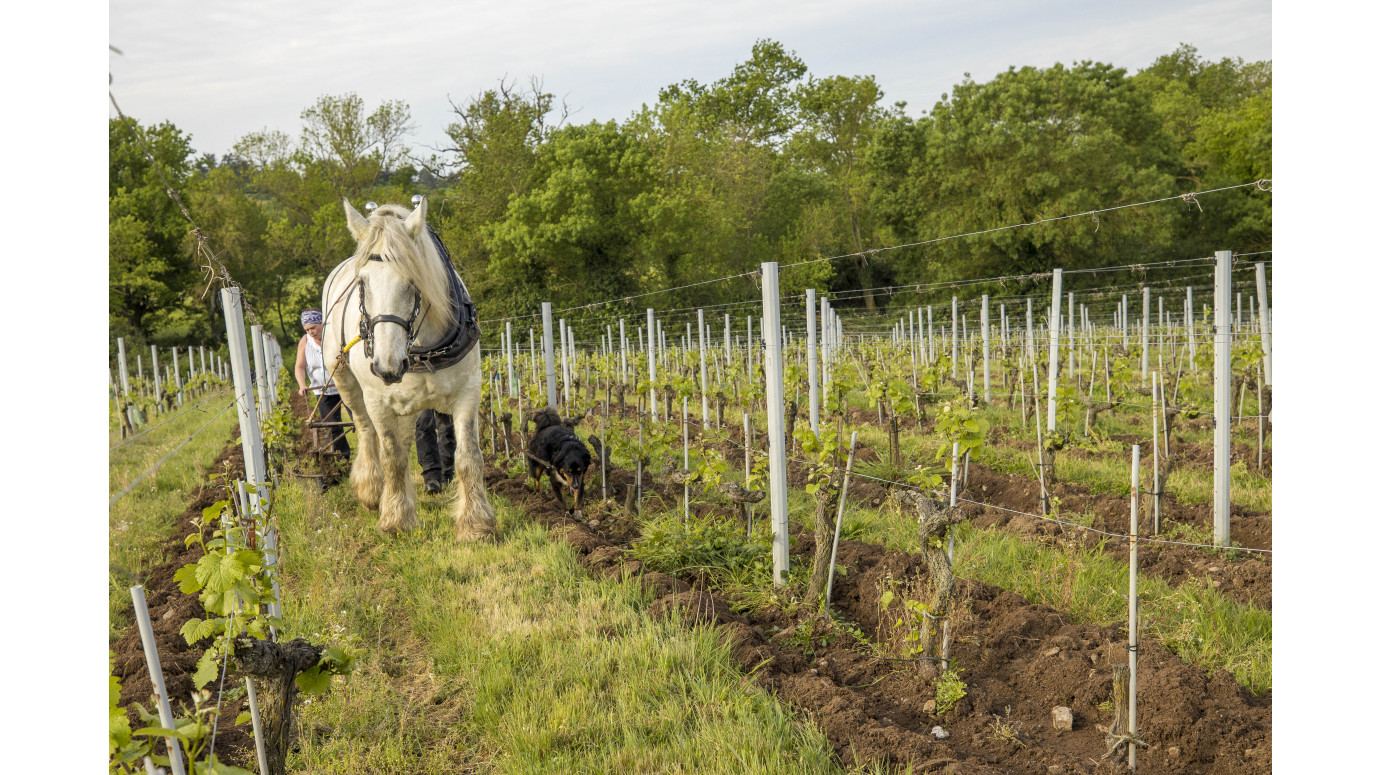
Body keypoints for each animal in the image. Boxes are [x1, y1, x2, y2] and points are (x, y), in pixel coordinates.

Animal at [321, 195, 496, 540]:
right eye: (362, 283)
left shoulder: (468, 391)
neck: (423, 349)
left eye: (413, 280)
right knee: (367, 432)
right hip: (346, 382)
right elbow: (392, 457)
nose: (387, 366)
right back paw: (371, 489)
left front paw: (475, 523)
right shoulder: (378, 399)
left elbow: (468, 456)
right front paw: (396, 519)